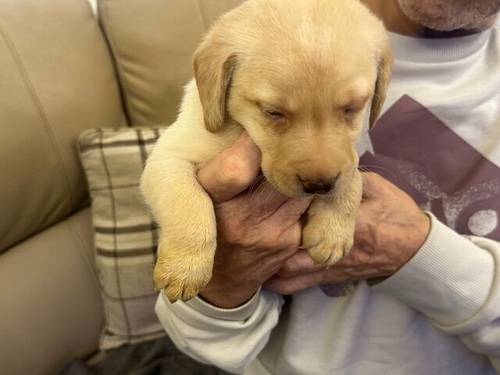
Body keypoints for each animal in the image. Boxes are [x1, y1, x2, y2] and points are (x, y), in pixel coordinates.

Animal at [140, 0, 390, 302]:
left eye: (353, 108)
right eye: (273, 112)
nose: (319, 185)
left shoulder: (349, 157)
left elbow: (353, 179)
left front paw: (333, 232)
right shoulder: (169, 156)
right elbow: (188, 200)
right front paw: (185, 267)